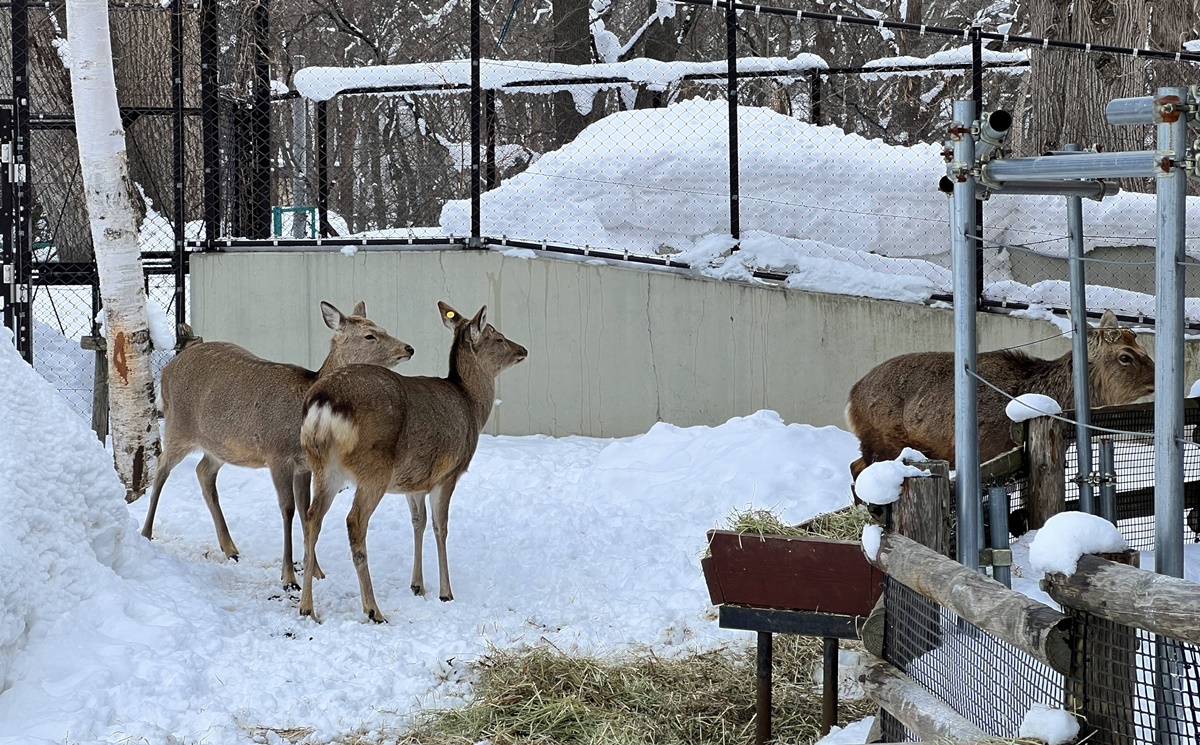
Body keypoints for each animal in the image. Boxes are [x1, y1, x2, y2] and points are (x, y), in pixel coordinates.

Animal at [142, 298, 415, 590]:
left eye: (382, 328)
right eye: (370, 335)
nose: (408, 348)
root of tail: (167, 368)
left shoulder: (305, 465)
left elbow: (306, 512)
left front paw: (317, 572)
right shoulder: (277, 454)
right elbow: (288, 510)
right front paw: (289, 577)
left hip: (218, 444)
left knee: (203, 471)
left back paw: (230, 548)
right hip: (178, 426)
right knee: (161, 467)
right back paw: (146, 532)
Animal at [297, 298, 528, 619]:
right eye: (498, 337)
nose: (523, 350)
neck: (471, 405)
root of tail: (323, 403)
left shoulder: (414, 480)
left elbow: (418, 522)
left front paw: (417, 585)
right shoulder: (448, 473)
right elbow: (441, 527)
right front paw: (446, 592)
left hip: (322, 466)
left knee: (311, 518)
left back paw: (307, 607)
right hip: (374, 468)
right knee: (354, 521)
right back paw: (373, 610)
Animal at [844, 307, 1152, 477]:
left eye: (1142, 348)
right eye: (1125, 356)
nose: (1154, 376)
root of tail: (851, 396)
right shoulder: (988, 454)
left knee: (854, 466)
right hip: (882, 441)